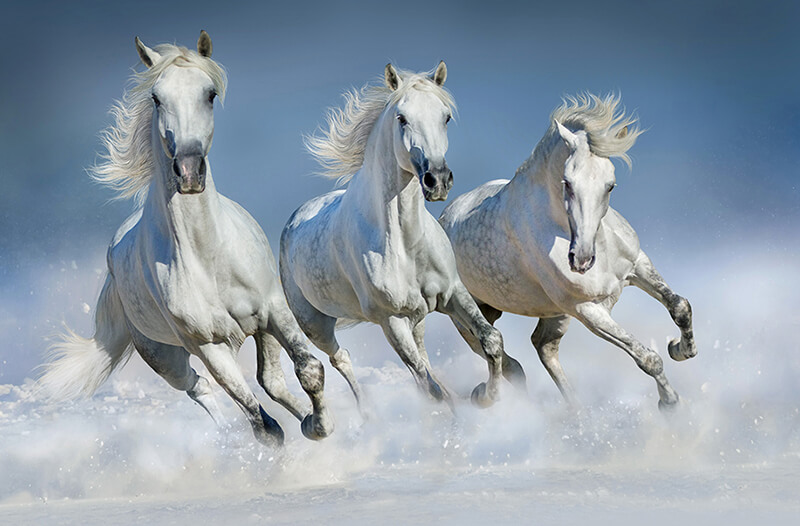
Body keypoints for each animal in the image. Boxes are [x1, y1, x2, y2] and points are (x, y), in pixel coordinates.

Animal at [36, 32, 332, 446]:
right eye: (157, 98)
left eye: (209, 94)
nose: (189, 171)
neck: (209, 258)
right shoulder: (208, 345)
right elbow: (263, 426)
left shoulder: (274, 310)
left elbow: (308, 370)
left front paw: (319, 426)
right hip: (165, 357)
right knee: (200, 387)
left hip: (258, 330)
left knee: (270, 380)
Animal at [440, 95, 696, 412]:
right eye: (567, 182)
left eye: (610, 186)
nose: (581, 260)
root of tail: (444, 218)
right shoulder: (586, 309)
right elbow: (647, 357)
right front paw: (670, 403)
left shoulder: (638, 266)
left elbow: (680, 306)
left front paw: (681, 349)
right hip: (469, 314)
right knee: (501, 356)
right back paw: (487, 396)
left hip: (552, 314)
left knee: (543, 345)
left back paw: (576, 410)